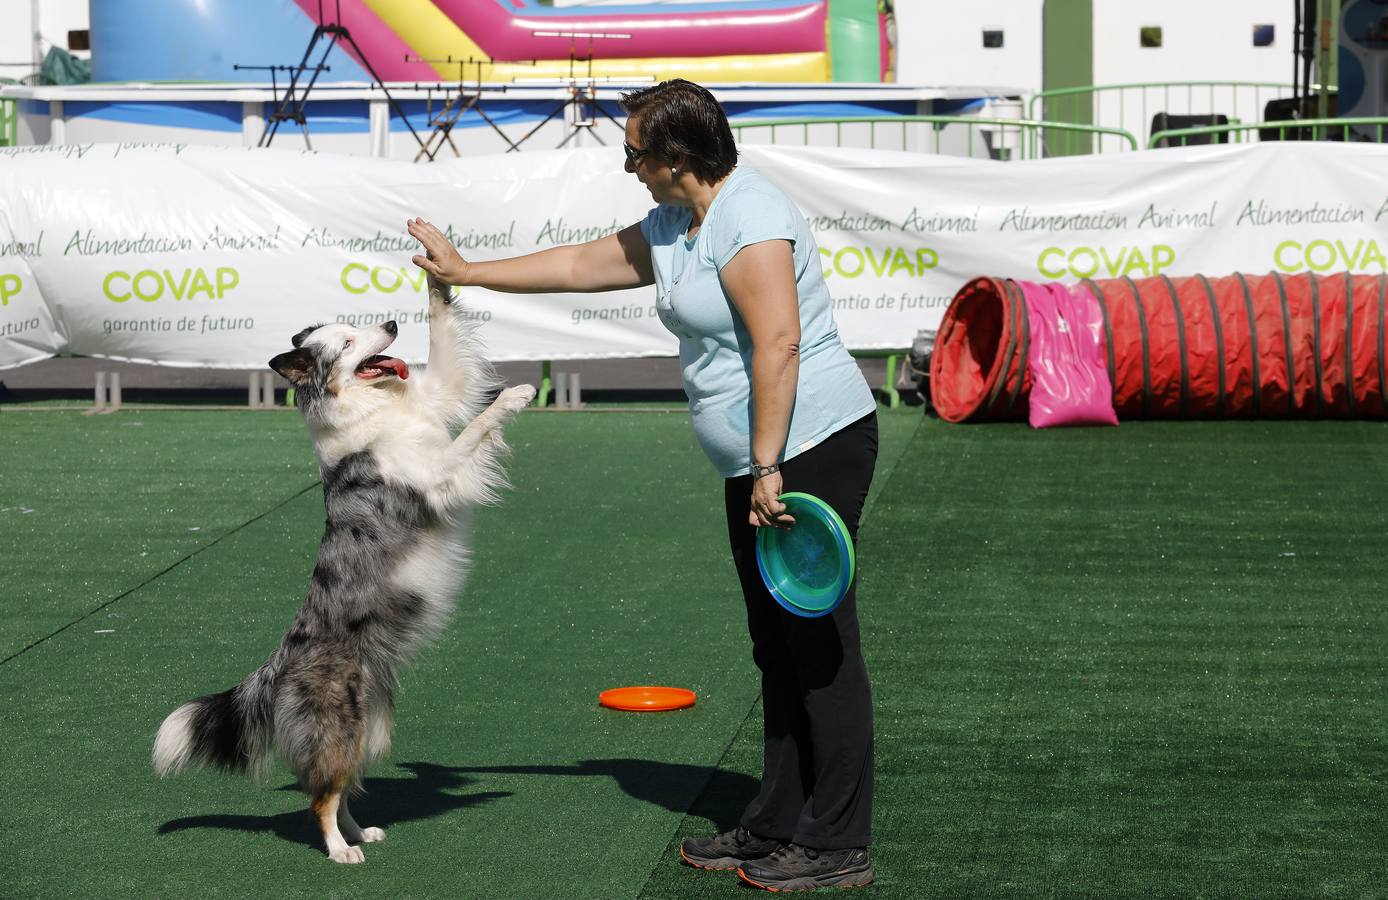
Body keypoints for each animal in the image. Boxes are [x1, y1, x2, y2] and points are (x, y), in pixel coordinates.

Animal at [151, 276, 530, 866]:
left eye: (360, 328)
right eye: (349, 344)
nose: (392, 325)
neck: (374, 406)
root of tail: (280, 661)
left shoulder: (437, 396)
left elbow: (447, 353)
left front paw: (435, 275)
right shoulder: (438, 473)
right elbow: (472, 430)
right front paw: (514, 396)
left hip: (369, 728)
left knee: (342, 786)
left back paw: (359, 834)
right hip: (336, 724)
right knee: (320, 797)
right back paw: (339, 851)